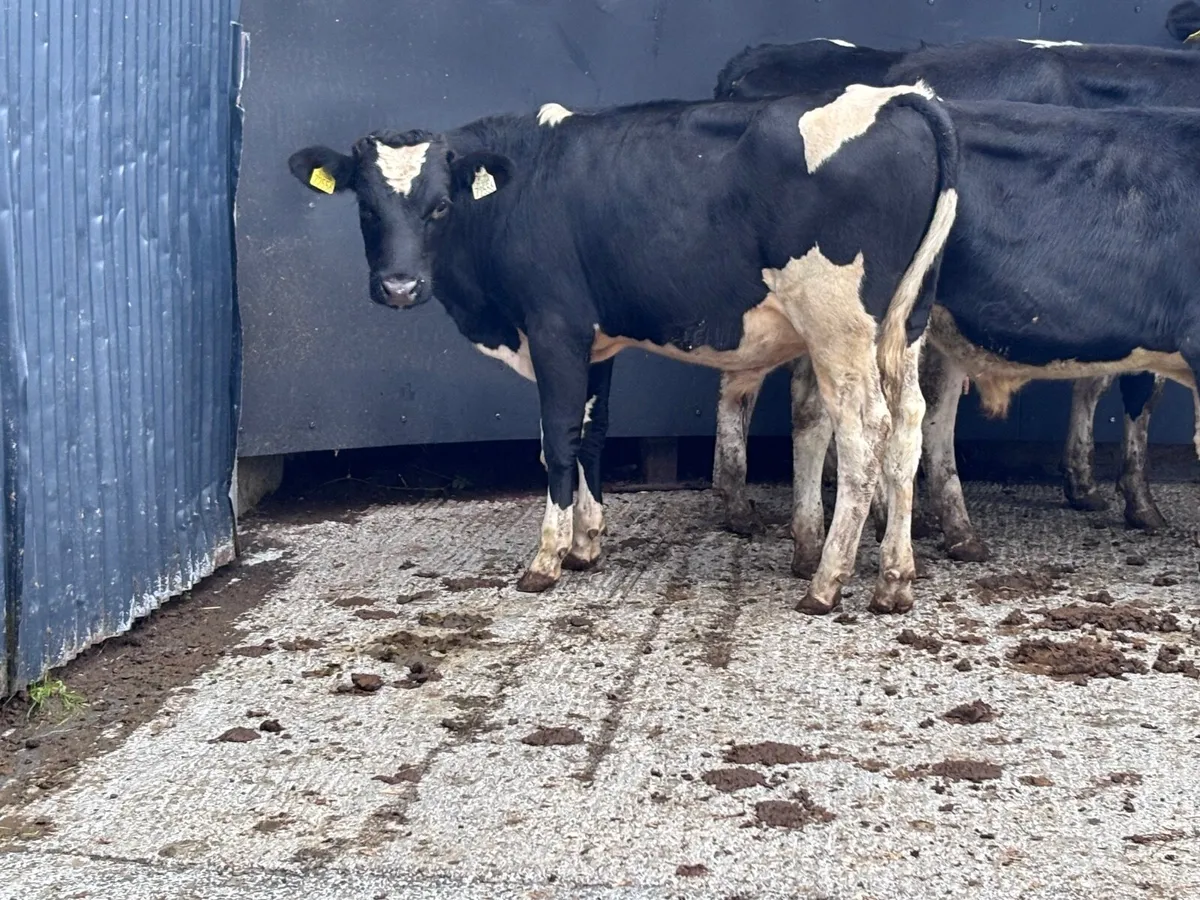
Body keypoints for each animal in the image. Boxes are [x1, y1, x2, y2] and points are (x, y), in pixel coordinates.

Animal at [288, 87, 958, 614]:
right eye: (366, 207)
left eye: (441, 205)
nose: (399, 286)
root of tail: (895, 97)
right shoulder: (596, 343)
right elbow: (593, 433)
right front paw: (587, 543)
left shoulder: (555, 327)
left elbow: (557, 439)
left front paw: (547, 557)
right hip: (906, 322)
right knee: (907, 426)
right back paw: (894, 579)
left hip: (837, 325)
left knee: (864, 433)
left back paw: (826, 582)